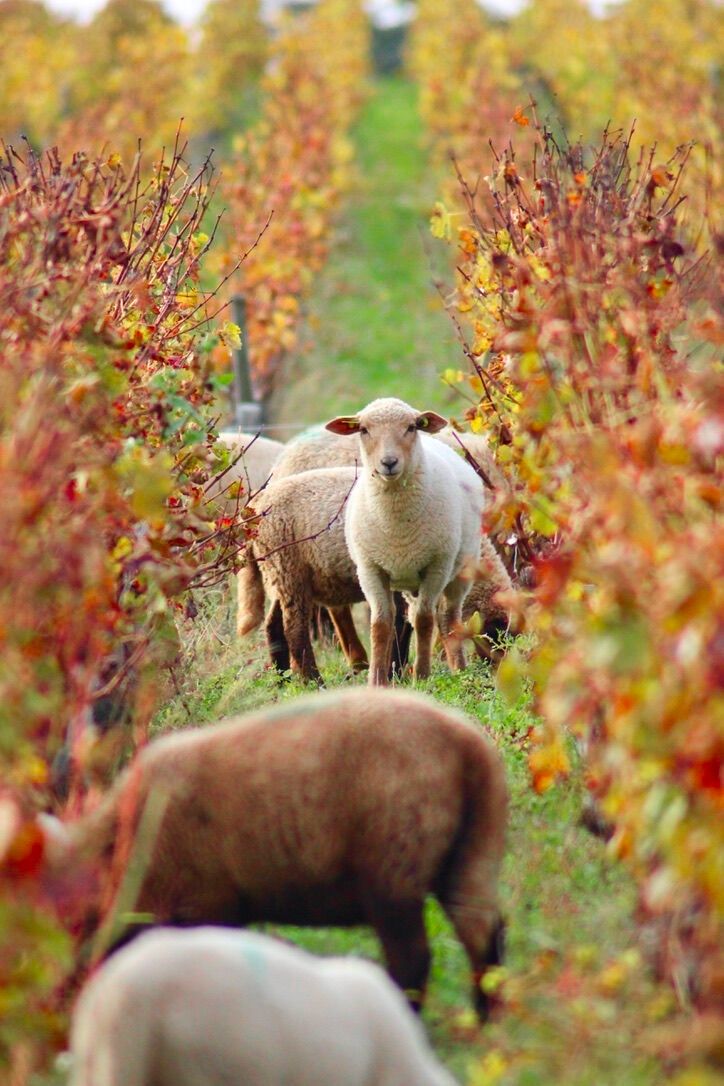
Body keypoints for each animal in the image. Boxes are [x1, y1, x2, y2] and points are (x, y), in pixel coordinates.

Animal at [41, 687, 508, 1019]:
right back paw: (488, 1022)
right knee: (484, 932)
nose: (57, 1000)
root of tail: (467, 745)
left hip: (393, 864)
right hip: (473, 847)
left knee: (413, 958)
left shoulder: (204, 902)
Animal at [326, 398, 485, 684]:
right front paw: (377, 680)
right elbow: (380, 624)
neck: (396, 525)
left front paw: (421, 675)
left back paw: (459, 668)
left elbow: (424, 620)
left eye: (411, 427)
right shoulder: (370, 569)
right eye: (363, 430)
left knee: (448, 616)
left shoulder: (436, 566)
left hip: (461, 570)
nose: (388, 462)